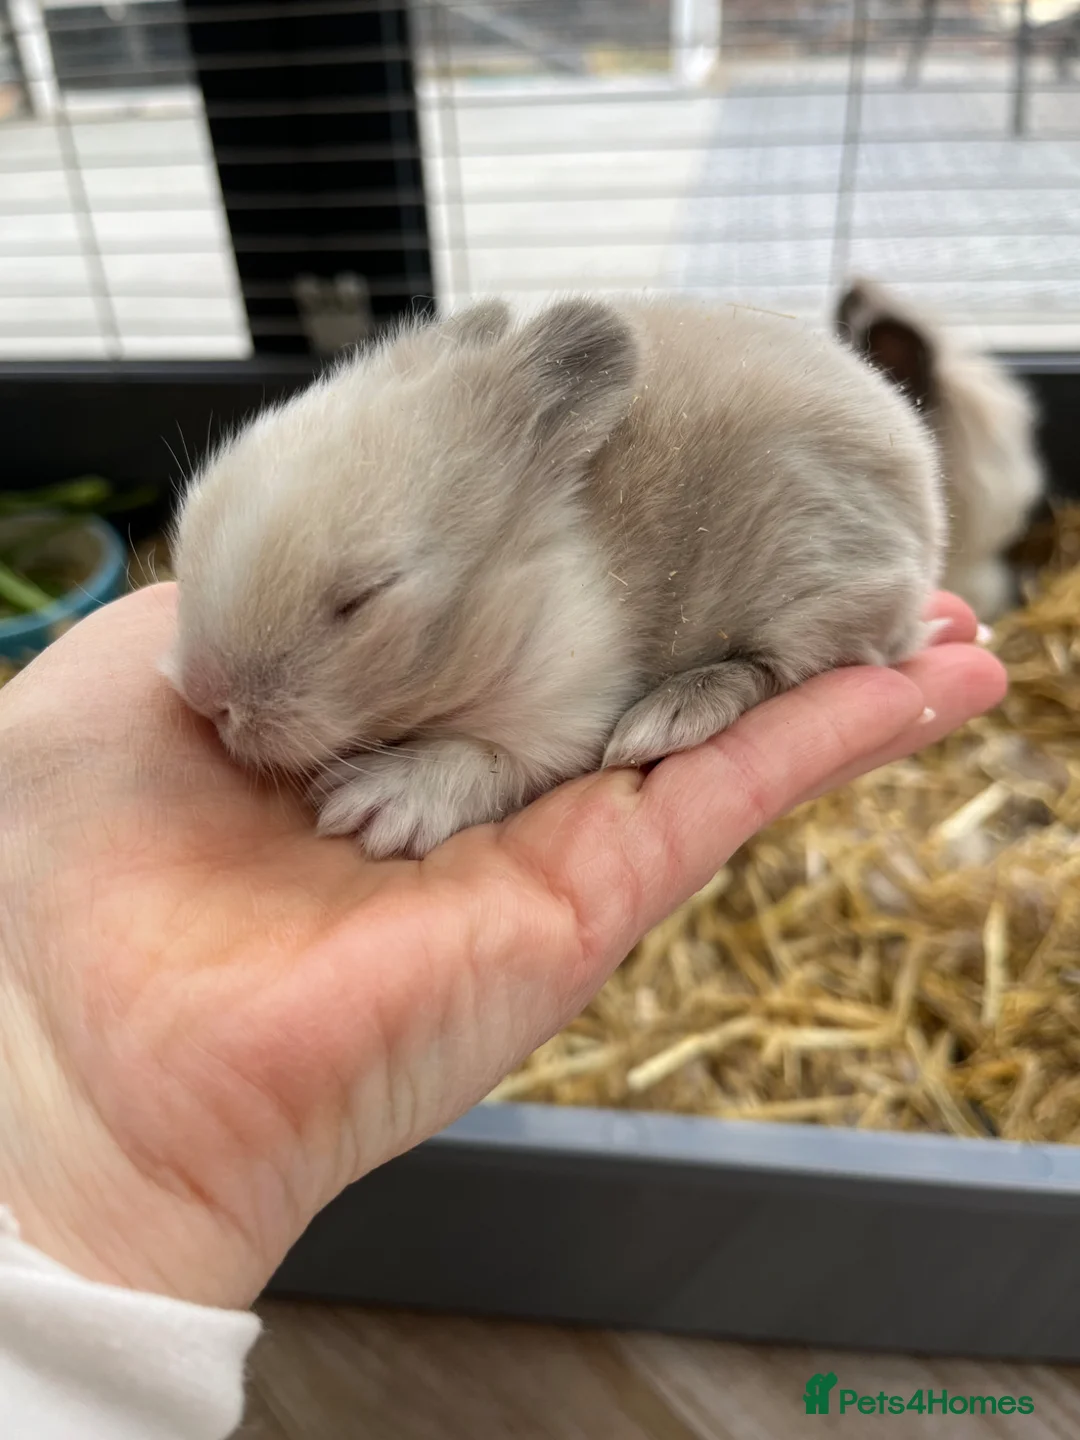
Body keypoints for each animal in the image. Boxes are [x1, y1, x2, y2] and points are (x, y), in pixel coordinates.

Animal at [162, 293, 944, 860]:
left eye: (364, 599)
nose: (207, 700)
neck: (520, 594)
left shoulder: (568, 707)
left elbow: (491, 758)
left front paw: (378, 805)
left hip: (822, 595)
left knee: (777, 666)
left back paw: (667, 718)